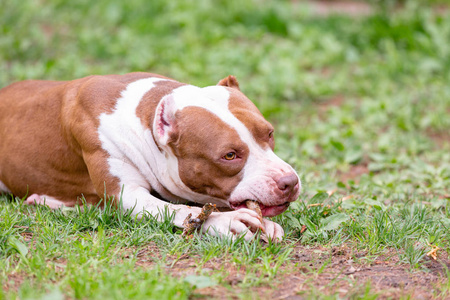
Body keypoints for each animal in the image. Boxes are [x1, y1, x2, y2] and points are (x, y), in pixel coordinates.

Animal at [0, 72, 302, 241]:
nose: (289, 182)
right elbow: (178, 209)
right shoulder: (127, 195)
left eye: (269, 133)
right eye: (229, 155)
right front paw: (225, 222)